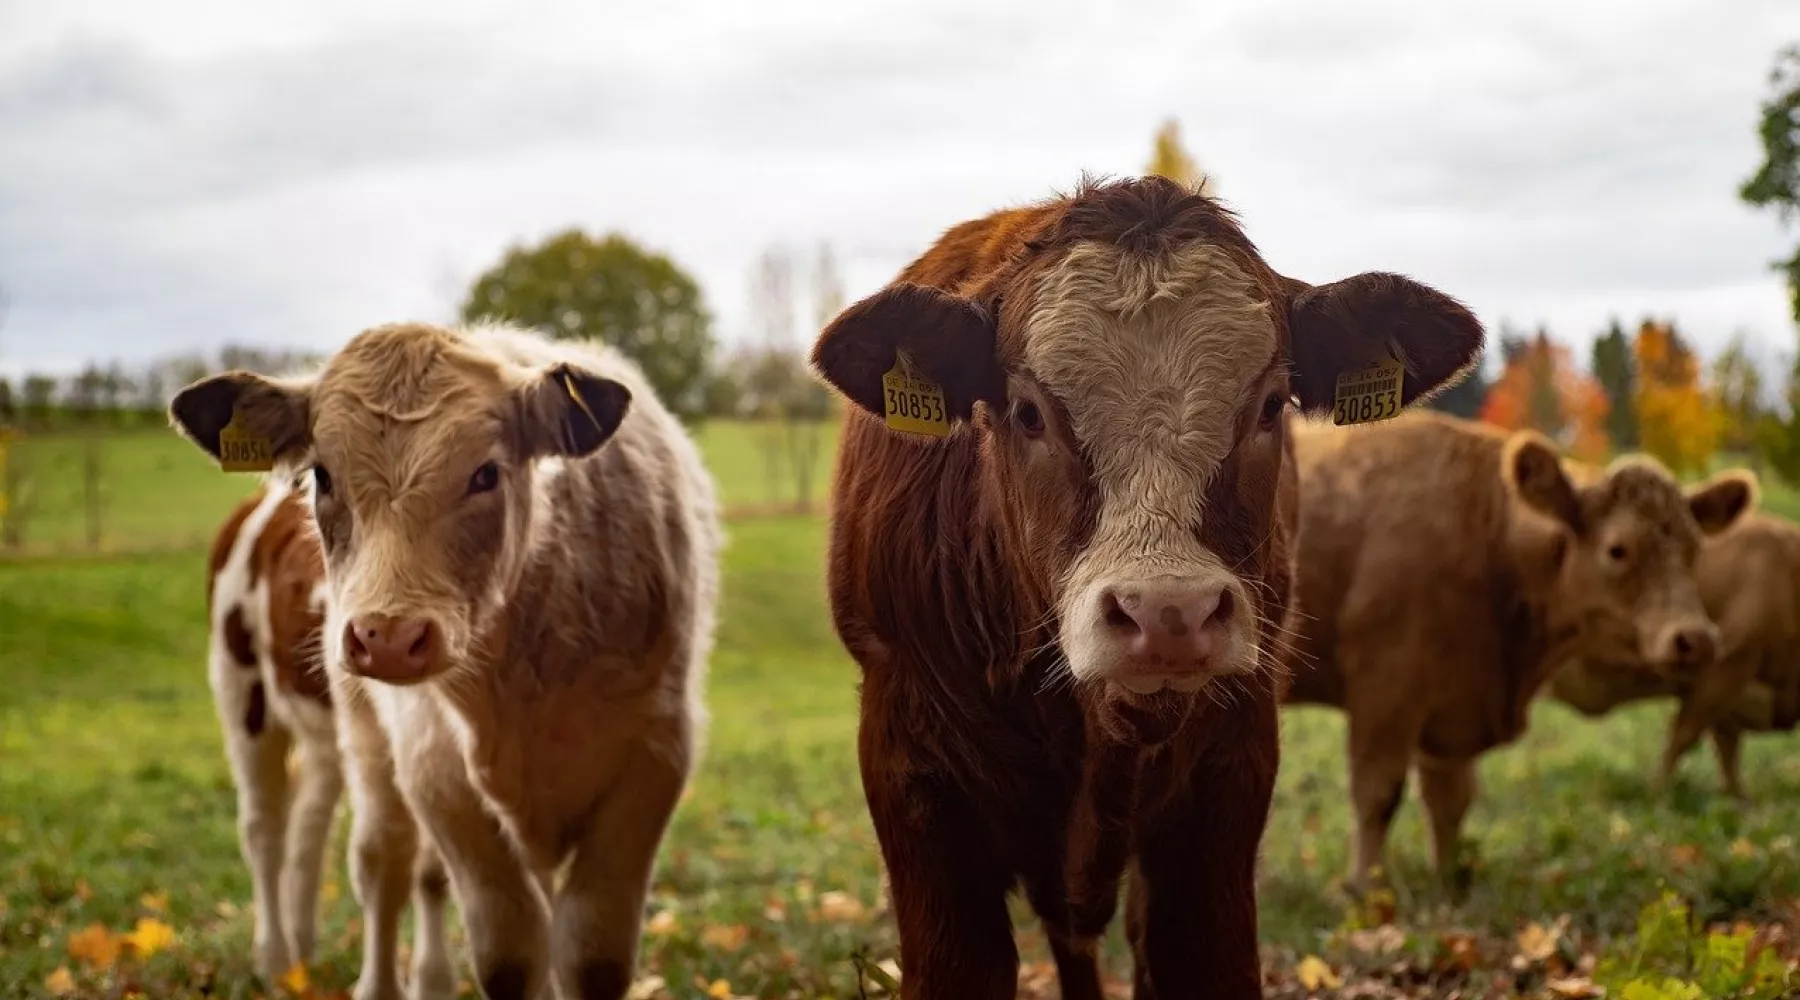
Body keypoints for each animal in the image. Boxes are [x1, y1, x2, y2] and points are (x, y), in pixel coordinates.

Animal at [204, 482, 457, 985]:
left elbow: (434, 868)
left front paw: (433, 981)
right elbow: (385, 855)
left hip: (325, 737)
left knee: (309, 821)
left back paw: (302, 950)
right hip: (241, 687)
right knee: (263, 827)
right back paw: (274, 958)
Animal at [1281, 410, 1756, 895]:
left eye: (1694, 551)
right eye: (1618, 549)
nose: (1696, 637)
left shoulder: (1453, 706)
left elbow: (1450, 801)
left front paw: (1449, 882)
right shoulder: (1385, 691)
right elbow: (1377, 794)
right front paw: (1365, 890)